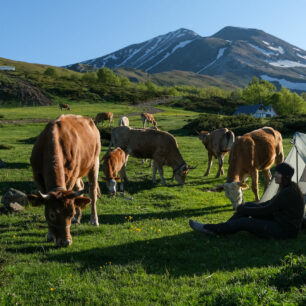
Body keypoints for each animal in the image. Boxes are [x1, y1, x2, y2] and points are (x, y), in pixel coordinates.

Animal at [26, 113, 100, 247]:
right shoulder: (37, 177)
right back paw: (78, 217)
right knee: (80, 187)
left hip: (94, 162)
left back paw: (94, 220)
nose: (66, 242)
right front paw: (50, 235)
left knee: (92, 191)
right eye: (52, 214)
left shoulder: (71, 176)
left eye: (70, 214)